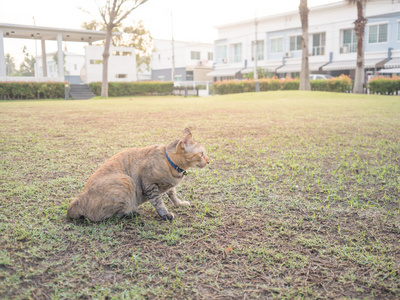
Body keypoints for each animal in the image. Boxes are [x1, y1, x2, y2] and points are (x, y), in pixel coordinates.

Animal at [66, 127, 209, 221]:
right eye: (201, 154)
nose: (209, 161)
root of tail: (77, 200)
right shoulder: (149, 185)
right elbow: (159, 202)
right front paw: (165, 214)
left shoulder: (170, 187)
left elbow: (173, 195)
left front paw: (179, 203)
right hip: (126, 180)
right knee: (111, 216)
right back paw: (131, 213)